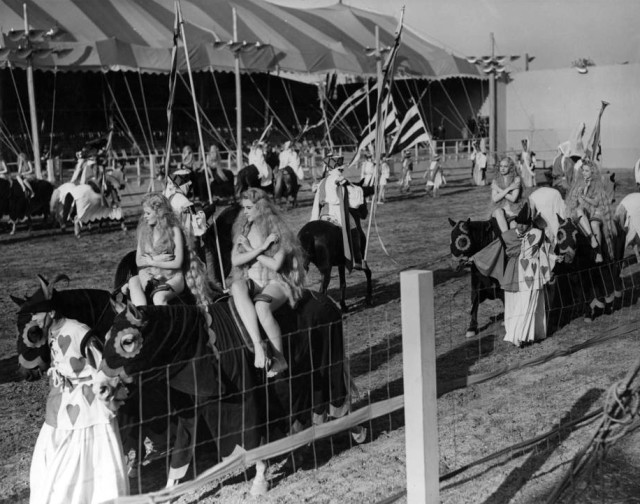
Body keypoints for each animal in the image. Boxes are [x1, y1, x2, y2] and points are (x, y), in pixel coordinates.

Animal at [91, 292, 350, 492]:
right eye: (105, 337)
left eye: (127, 341)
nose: (101, 386)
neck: (197, 346)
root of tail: (327, 300)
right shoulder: (189, 410)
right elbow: (182, 449)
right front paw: (170, 489)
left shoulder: (242, 405)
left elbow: (251, 438)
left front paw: (259, 481)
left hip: (330, 364)